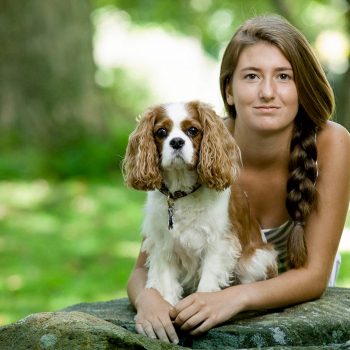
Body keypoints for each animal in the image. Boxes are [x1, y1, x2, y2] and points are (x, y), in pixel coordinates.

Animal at [122, 100, 276, 304]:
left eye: (193, 130)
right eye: (161, 132)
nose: (176, 141)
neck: (180, 194)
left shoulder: (218, 243)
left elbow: (208, 282)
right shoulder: (163, 244)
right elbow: (167, 283)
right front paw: (167, 306)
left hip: (256, 259)